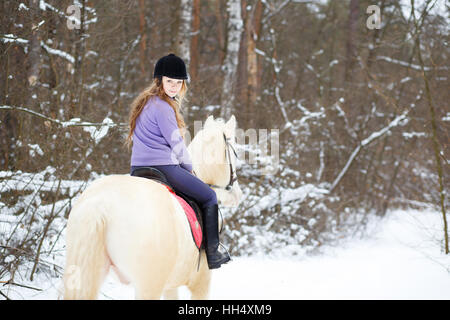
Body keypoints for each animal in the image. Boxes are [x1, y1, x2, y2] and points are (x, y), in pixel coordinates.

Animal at [63, 115, 243, 300]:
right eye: (235, 154)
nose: (237, 195)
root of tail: (99, 205)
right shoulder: (201, 283)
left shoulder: (171, 286)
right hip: (148, 285)